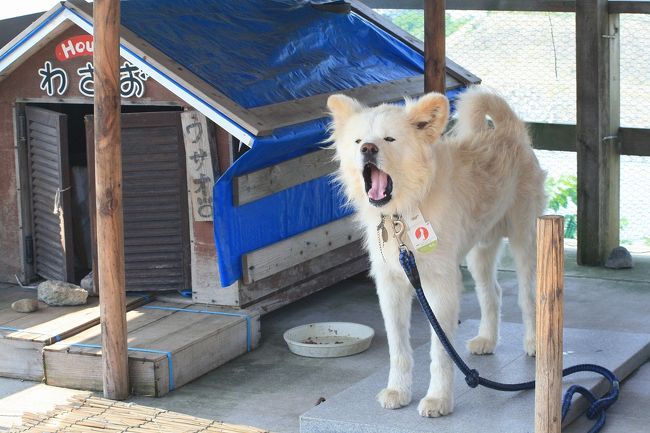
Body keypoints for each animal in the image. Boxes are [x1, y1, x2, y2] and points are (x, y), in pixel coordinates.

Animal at [326, 87, 544, 416]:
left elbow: (440, 351)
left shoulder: (439, 287)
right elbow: (398, 347)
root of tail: (510, 130)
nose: (368, 149)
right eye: (357, 140)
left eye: (389, 139)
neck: (403, 211)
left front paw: (439, 399)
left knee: (526, 296)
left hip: (524, 238)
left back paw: (533, 344)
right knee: (492, 292)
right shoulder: (391, 286)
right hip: (479, 251)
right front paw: (398, 391)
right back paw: (486, 340)